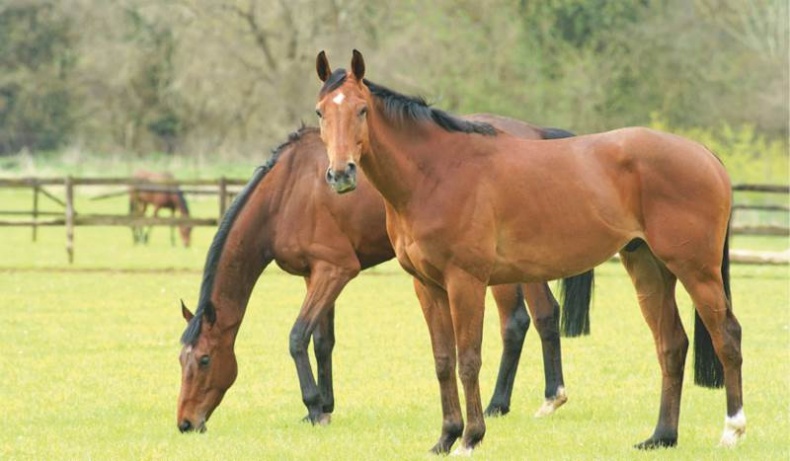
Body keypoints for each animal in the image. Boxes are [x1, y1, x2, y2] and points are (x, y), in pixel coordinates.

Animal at [177, 120, 593, 433]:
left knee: (524, 320)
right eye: (181, 361)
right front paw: (325, 405)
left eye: (205, 360)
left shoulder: (335, 270)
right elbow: (322, 341)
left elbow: (297, 337)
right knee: (536, 318)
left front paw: (313, 406)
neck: (288, 193)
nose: (185, 423)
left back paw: (514, 400)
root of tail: (535, 132)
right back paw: (525, 399)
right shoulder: (315, 275)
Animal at [314, 50, 744, 454]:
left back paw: (731, 431)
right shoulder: (427, 286)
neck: (436, 172)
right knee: (672, 345)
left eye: (362, 109)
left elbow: (468, 360)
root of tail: (704, 153)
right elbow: (443, 361)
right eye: (320, 112)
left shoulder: (466, 282)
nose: (340, 174)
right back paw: (661, 437)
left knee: (727, 337)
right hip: (649, 269)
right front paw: (445, 438)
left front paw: (470, 438)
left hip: (696, 271)